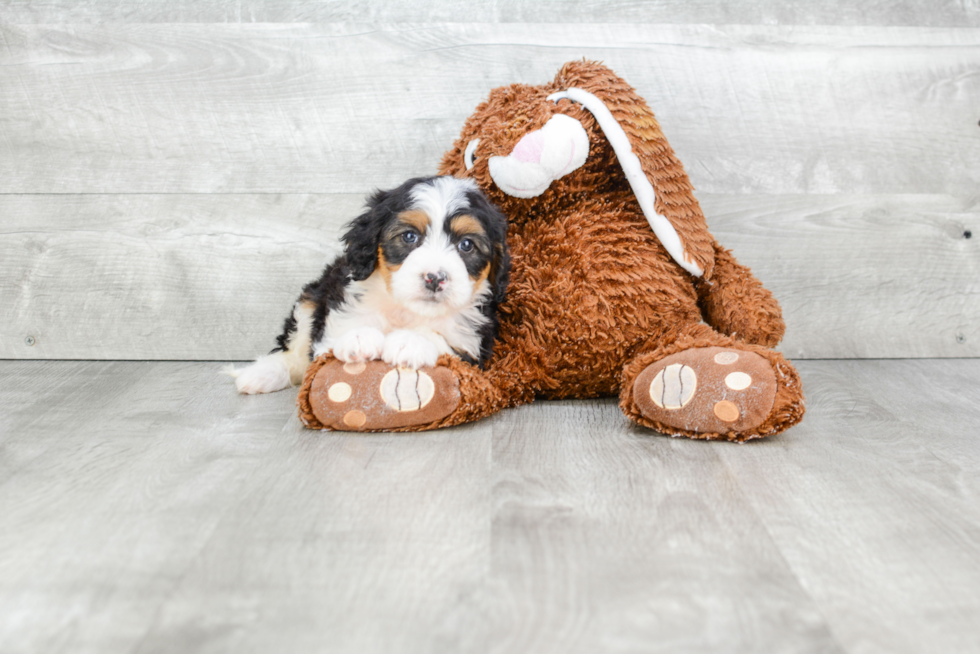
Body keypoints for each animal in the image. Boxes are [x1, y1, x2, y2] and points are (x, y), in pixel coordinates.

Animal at [228, 174, 506, 398]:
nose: (435, 278)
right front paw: (359, 337)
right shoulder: (335, 321)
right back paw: (261, 374)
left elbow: (442, 342)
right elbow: (333, 343)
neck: (406, 310)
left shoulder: (473, 349)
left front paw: (410, 341)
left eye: (466, 245)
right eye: (409, 236)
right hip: (312, 297)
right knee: (295, 353)